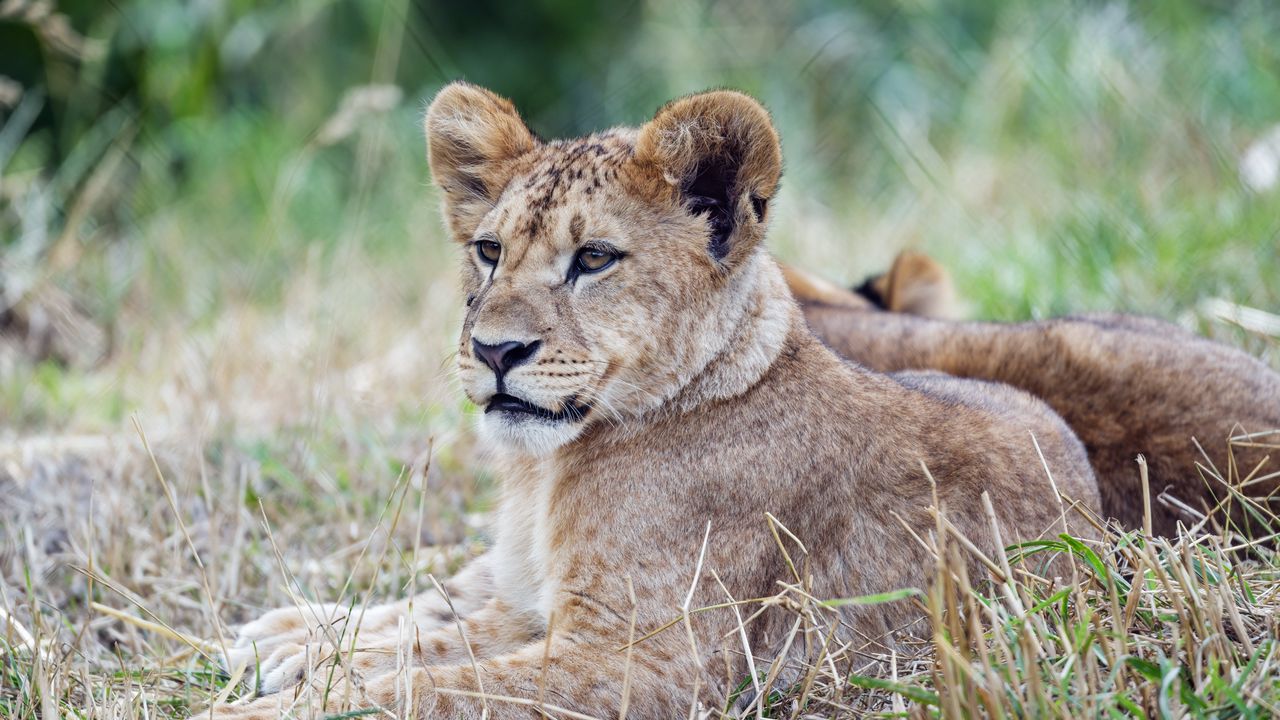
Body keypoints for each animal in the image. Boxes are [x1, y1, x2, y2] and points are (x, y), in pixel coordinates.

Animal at [195, 84, 1100, 719]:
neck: (547, 472)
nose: (494, 352)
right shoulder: (541, 605)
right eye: (488, 251)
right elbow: (435, 628)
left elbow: (438, 684)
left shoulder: (649, 661)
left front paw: (270, 698)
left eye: (594, 259)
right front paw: (296, 649)